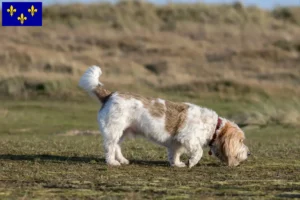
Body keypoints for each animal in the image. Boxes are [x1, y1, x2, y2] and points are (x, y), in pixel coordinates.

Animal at [78, 66, 250, 168]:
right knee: (110, 147)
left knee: (117, 147)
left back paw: (122, 160)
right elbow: (198, 152)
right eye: (241, 141)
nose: (249, 153)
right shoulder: (188, 138)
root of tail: (110, 95)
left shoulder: (176, 142)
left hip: (122, 132)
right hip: (113, 131)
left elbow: (175, 154)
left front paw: (177, 164)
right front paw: (191, 162)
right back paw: (112, 162)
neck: (214, 127)